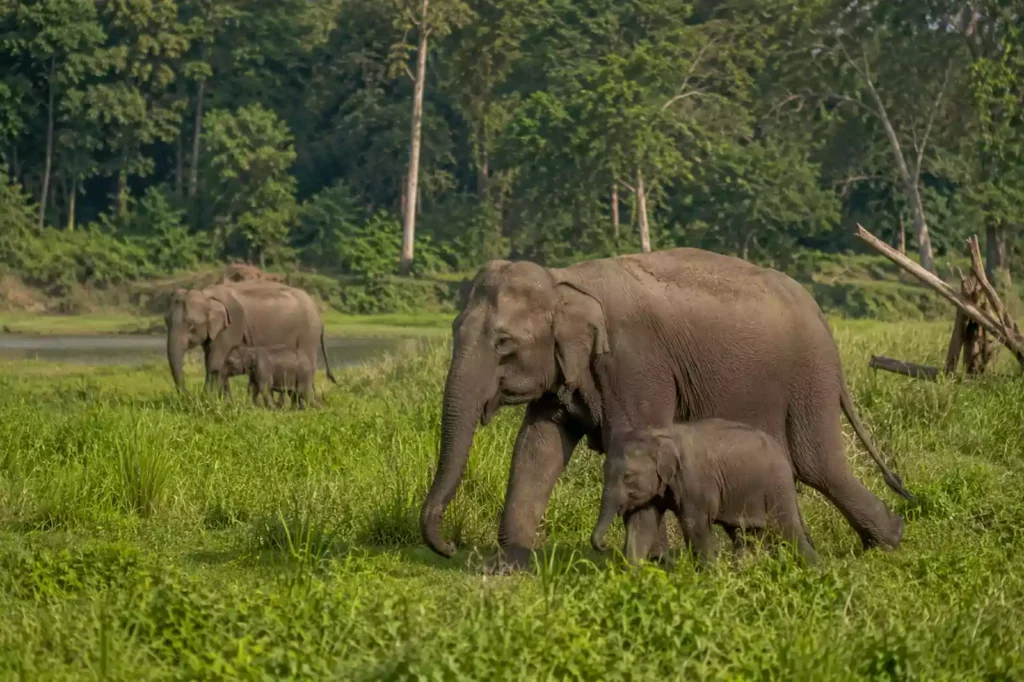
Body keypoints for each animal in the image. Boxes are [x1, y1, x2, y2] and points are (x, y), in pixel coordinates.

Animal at [165, 280, 336, 395]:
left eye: (191, 325)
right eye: (166, 321)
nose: (186, 396)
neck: (207, 295)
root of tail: (318, 313)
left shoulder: (231, 327)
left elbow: (216, 362)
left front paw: (207, 400)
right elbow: (214, 363)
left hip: (308, 334)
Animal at [591, 420, 819, 566]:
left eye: (628, 476)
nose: (604, 545)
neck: (658, 434)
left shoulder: (695, 480)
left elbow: (695, 524)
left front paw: (709, 578)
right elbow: (642, 524)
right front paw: (634, 576)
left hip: (776, 486)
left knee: (787, 529)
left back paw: (816, 573)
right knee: (746, 536)